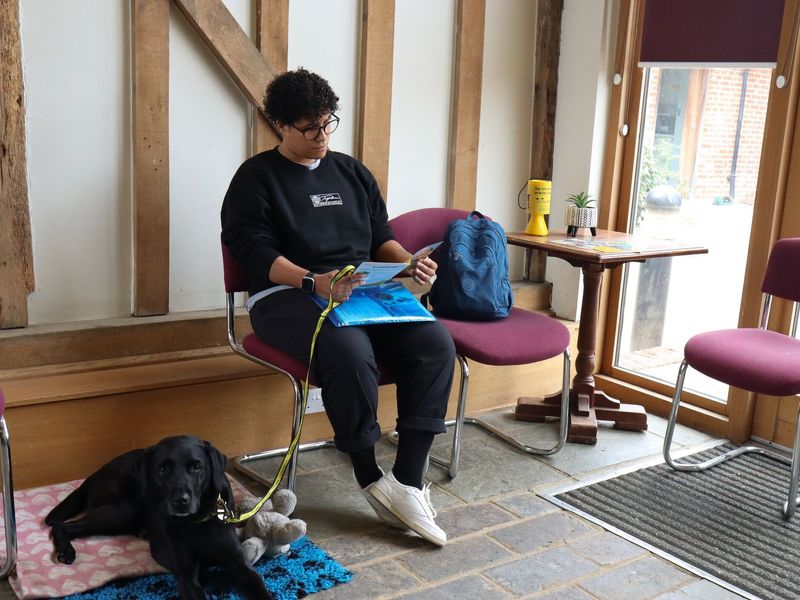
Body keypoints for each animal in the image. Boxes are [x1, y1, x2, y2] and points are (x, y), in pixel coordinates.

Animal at [45, 436, 274, 600]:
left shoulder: (241, 566)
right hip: (123, 510)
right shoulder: (186, 576)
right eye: (163, 469)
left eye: (196, 466)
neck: (196, 521)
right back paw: (66, 550)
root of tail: (95, 474)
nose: (181, 500)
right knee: (61, 525)